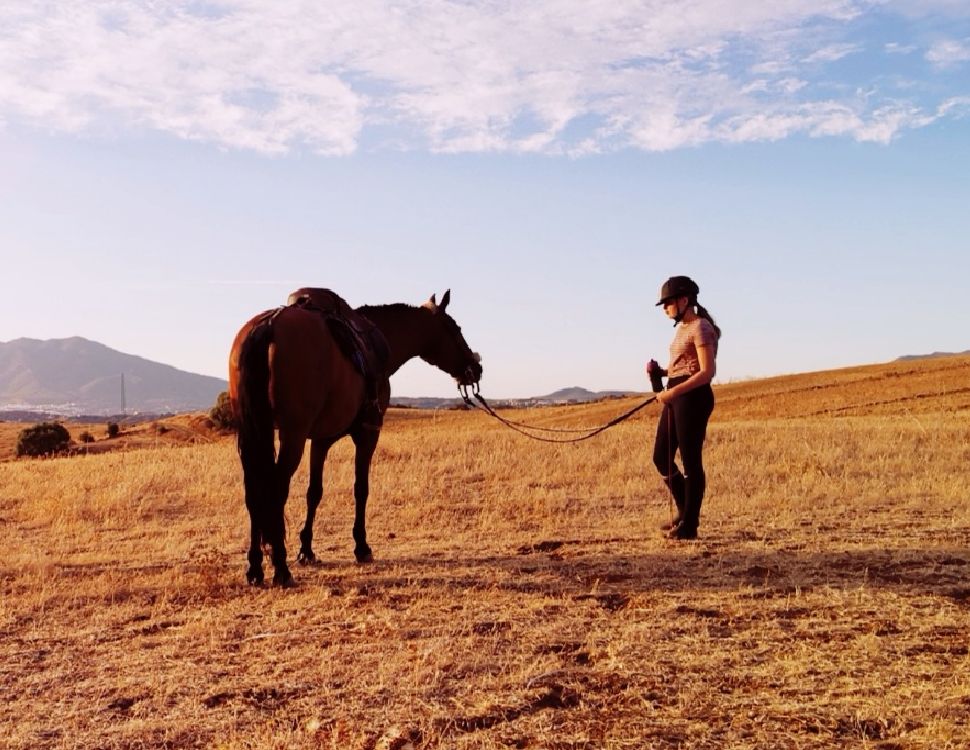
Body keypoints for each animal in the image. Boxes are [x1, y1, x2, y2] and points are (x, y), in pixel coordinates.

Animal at [228, 288, 484, 588]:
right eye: (455, 329)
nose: (475, 368)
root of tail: (269, 323)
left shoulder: (320, 440)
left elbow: (314, 492)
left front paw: (307, 549)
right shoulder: (368, 432)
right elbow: (361, 488)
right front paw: (361, 546)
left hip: (254, 434)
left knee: (254, 490)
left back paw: (255, 567)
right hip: (293, 434)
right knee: (275, 490)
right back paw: (280, 567)